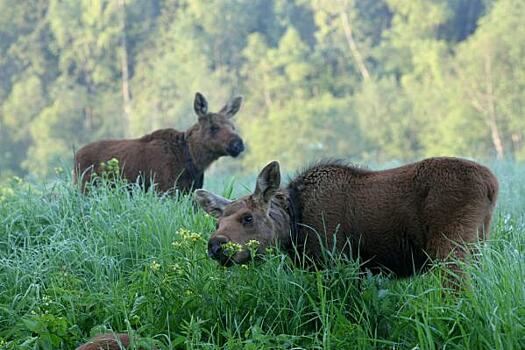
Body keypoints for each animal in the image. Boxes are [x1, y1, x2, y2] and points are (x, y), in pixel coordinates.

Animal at [73, 91, 244, 193]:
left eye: (233, 126)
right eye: (214, 127)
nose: (239, 144)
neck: (192, 159)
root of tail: (76, 155)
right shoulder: (162, 189)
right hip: (85, 187)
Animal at [194, 159, 498, 282]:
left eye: (247, 217)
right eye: (217, 223)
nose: (215, 245)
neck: (294, 225)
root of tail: (491, 184)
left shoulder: (335, 261)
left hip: (451, 250)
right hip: (478, 243)